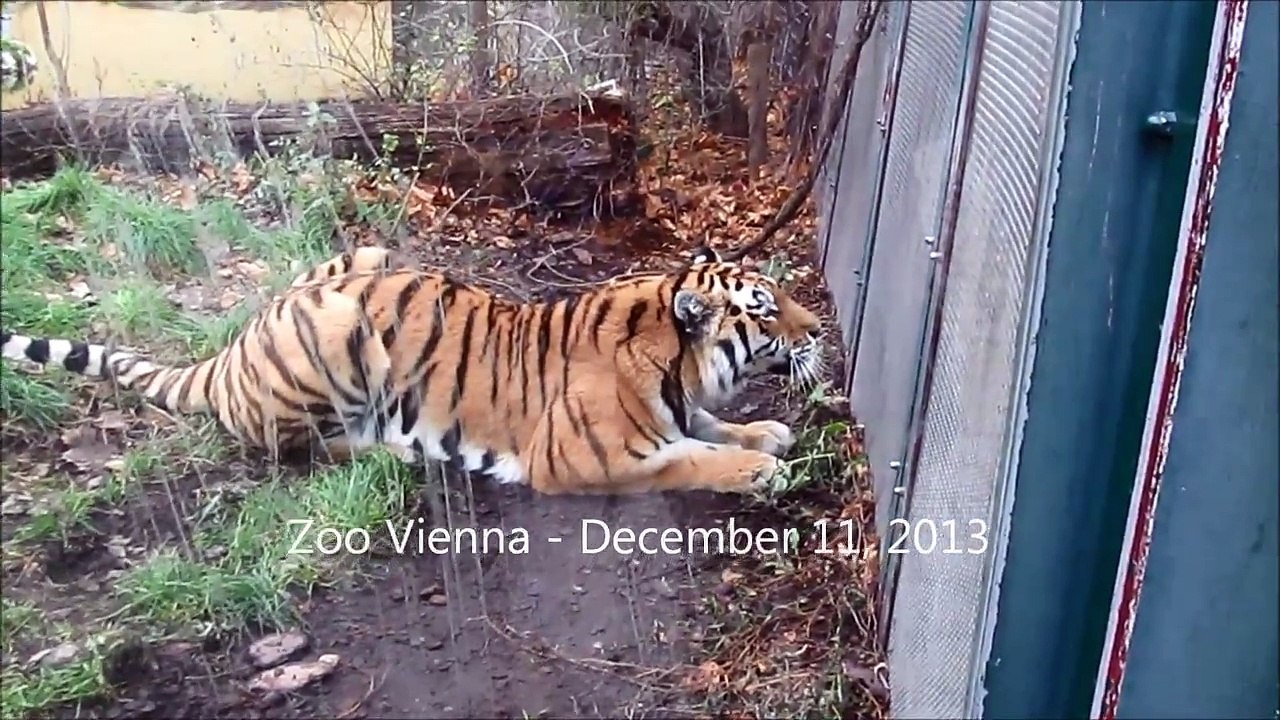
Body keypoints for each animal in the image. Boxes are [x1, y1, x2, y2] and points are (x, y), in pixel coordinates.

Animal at [1, 245, 826, 495]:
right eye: (764, 309)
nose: (819, 327)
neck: (674, 360)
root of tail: (232, 349)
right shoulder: (581, 458)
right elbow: (685, 458)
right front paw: (755, 470)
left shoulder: (683, 406)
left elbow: (711, 424)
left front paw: (766, 433)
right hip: (334, 335)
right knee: (292, 448)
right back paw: (391, 451)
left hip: (362, 257)